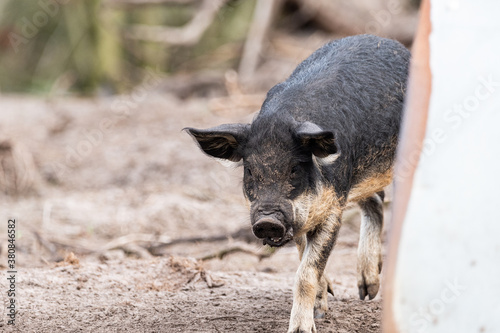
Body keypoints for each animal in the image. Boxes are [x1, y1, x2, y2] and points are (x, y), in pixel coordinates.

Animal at [185, 35, 410, 330]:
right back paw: (366, 292)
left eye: (294, 169)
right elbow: (304, 256)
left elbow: (306, 272)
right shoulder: (303, 216)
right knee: (375, 199)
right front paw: (321, 309)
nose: (268, 220)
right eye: (249, 170)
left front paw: (302, 329)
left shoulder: (333, 208)